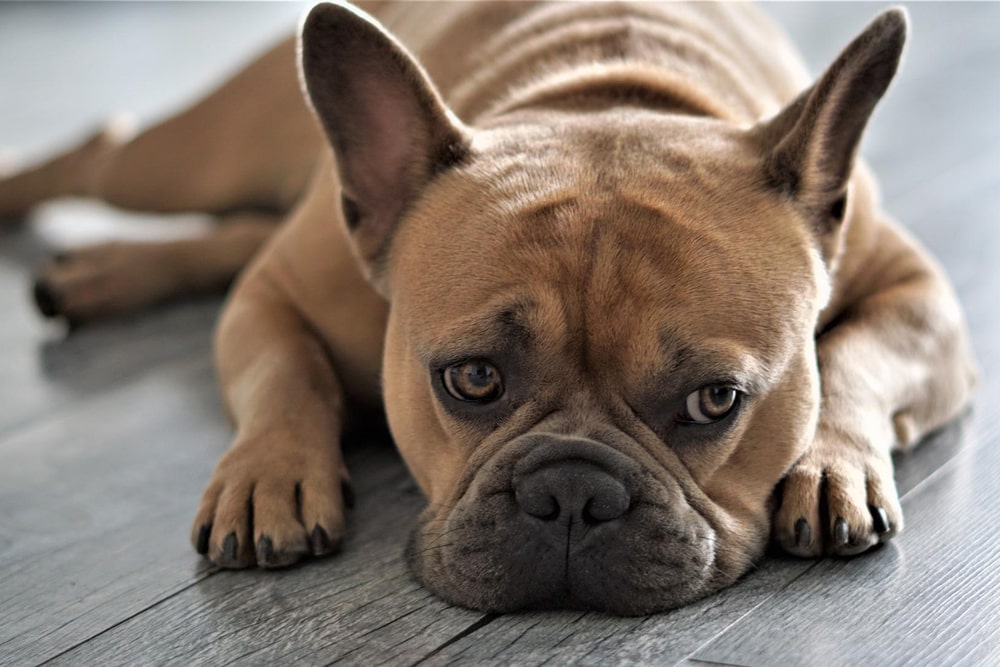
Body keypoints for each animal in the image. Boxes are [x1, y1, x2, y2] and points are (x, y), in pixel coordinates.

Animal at [0, 1, 976, 616]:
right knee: (104, 151)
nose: (574, 491)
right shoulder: (277, 293)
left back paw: (97, 274)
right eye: (471, 380)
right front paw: (268, 474)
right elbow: (288, 369)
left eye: (715, 401)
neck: (604, 93)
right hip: (196, 156)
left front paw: (833, 463)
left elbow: (856, 357)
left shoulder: (921, 297)